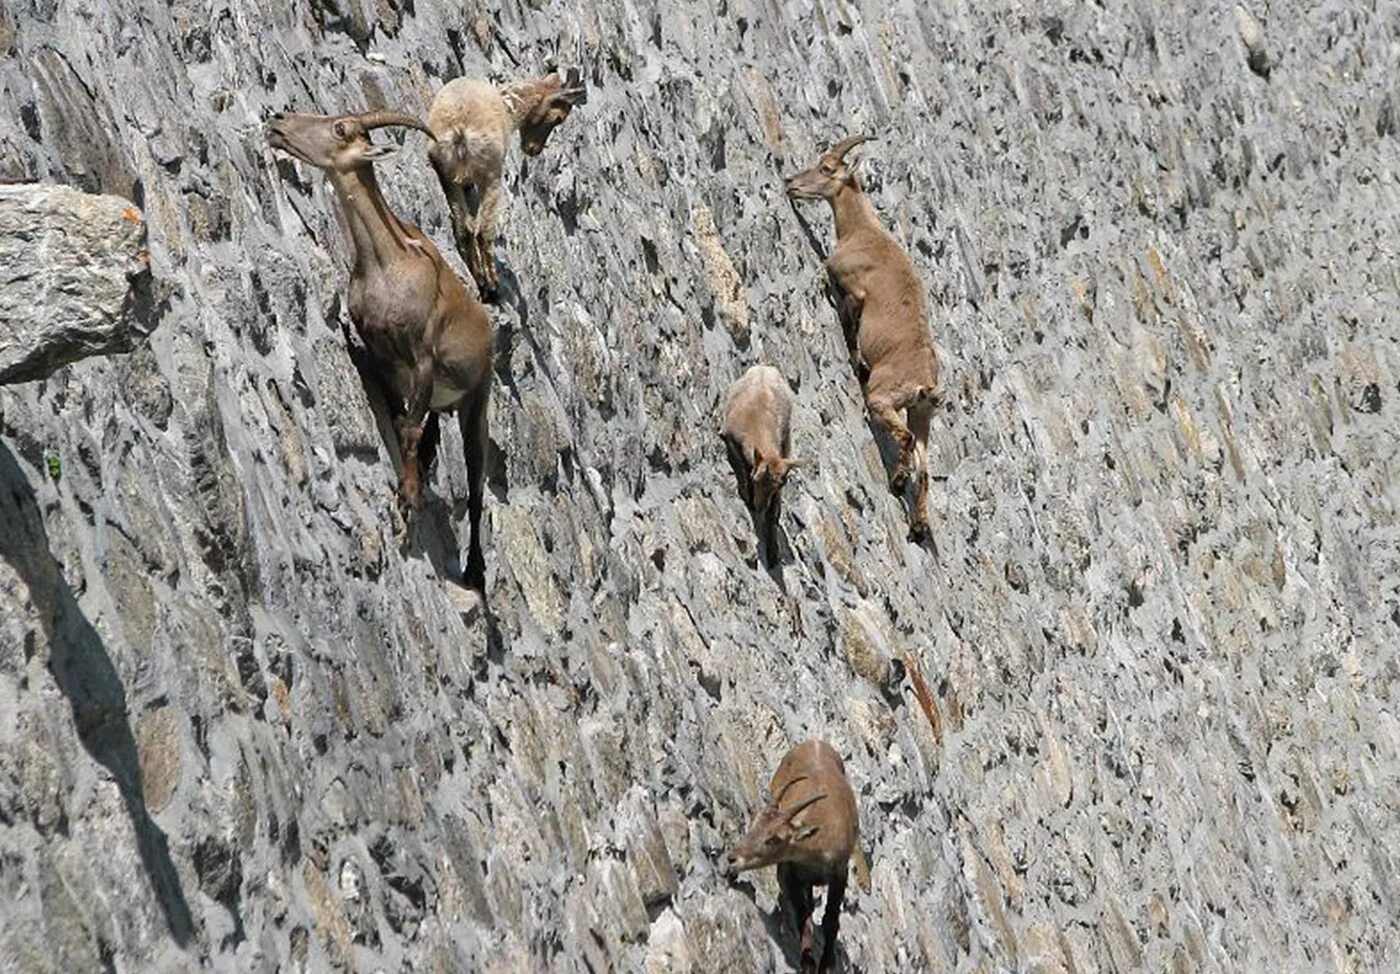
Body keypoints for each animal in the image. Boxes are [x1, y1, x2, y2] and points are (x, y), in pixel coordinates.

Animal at [266, 107, 492, 593]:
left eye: (340, 128)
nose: (278, 122)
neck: (389, 265)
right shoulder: (383, 356)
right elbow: (401, 419)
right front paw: (410, 483)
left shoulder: (422, 356)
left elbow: (407, 429)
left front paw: (407, 498)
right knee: (429, 428)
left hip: (476, 401)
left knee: (477, 484)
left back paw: (475, 570)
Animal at [722, 738, 862, 974]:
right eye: (754, 823)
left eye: (774, 839)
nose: (732, 858)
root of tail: (815, 741)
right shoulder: (791, 872)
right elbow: (802, 916)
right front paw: (807, 963)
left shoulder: (839, 873)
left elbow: (830, 920)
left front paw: (825, 964)